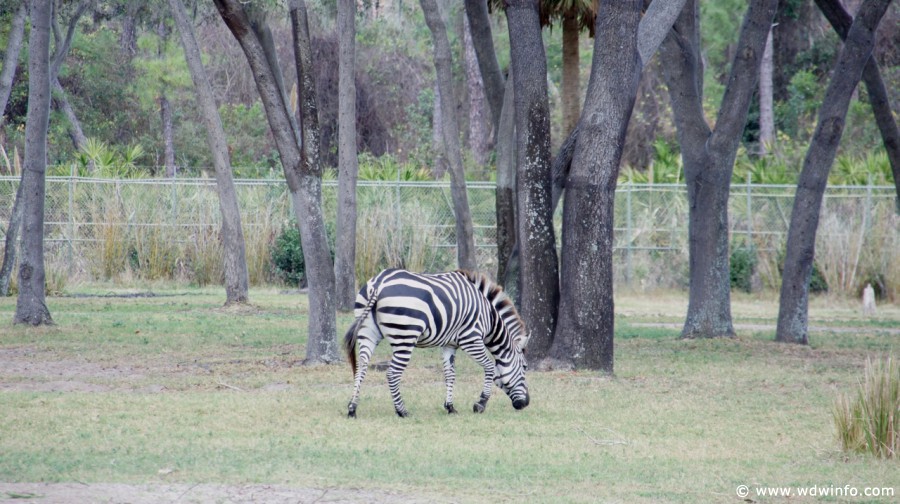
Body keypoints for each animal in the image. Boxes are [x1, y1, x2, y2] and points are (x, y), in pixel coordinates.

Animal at [342, 268, 528, 418]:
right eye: (525, 367)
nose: (526, 403)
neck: (489, 317)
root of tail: (379, 283)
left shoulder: (449, 344)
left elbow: (450, 374)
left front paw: (450, 407)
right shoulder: (471, 339)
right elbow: (490, 367)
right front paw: (480, 404)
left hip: (367, 333)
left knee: (361, 367)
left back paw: (352, 408)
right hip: (405, 337)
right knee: (392, 373)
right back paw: (402, 411)